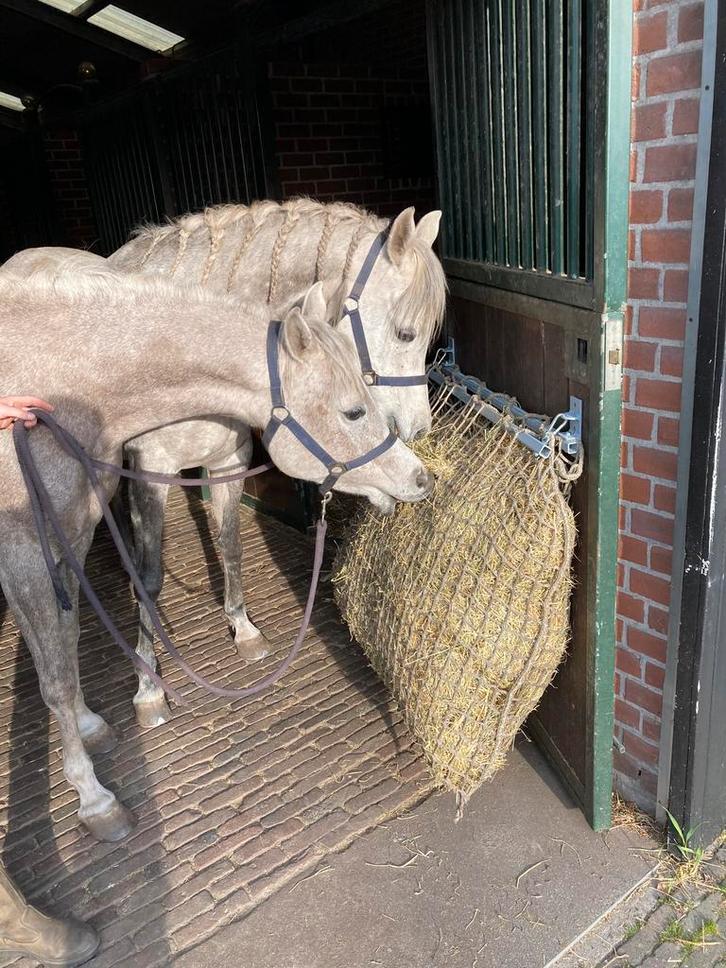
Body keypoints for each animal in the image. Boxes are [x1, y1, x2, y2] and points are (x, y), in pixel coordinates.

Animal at [0, 255, 432, 843]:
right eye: (351, 413)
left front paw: (91, 725)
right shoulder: (25, 552)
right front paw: (94, 795)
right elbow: (58, 677)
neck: (60, 379)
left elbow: (66, 643)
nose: (421, 477)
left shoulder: (73, 530)